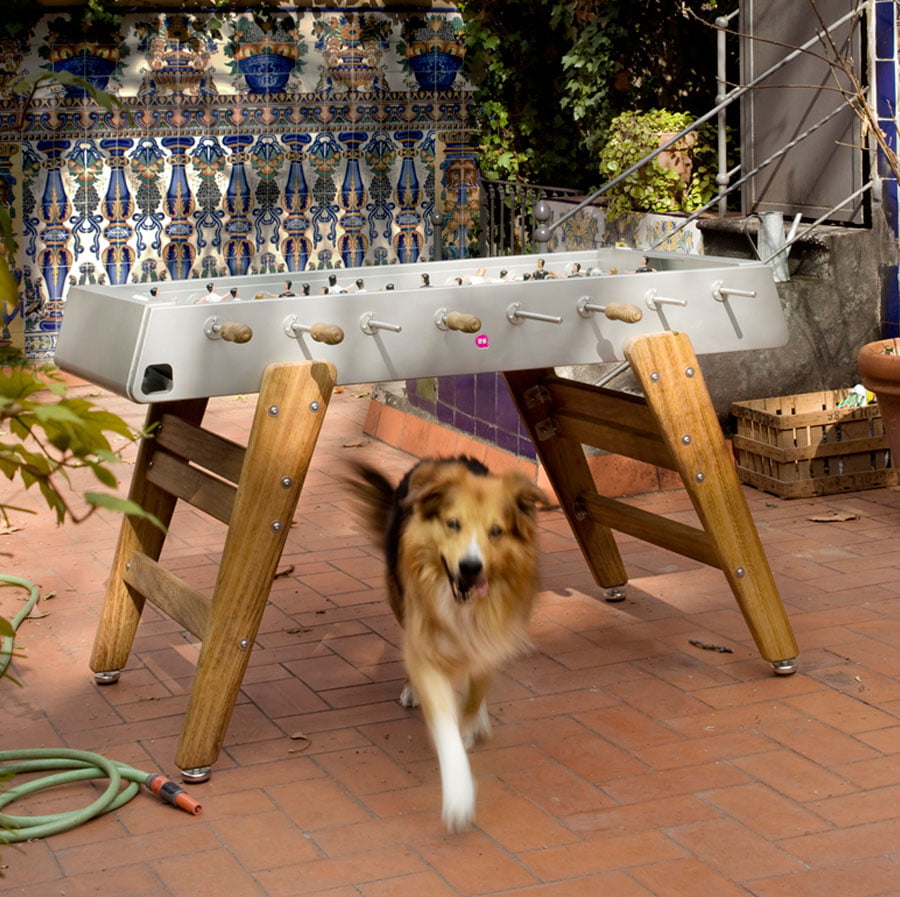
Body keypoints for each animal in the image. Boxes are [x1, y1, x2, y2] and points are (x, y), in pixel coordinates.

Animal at [348, 458, 552, 828]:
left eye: (496, 531)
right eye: (453, 524)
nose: (470, 567)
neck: (464, 610)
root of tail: (445, 460)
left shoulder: (493, 638)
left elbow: (475, 691)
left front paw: (472, 723)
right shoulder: (424, 648)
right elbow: (446, 726)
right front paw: (459, 794)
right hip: (399, 600)